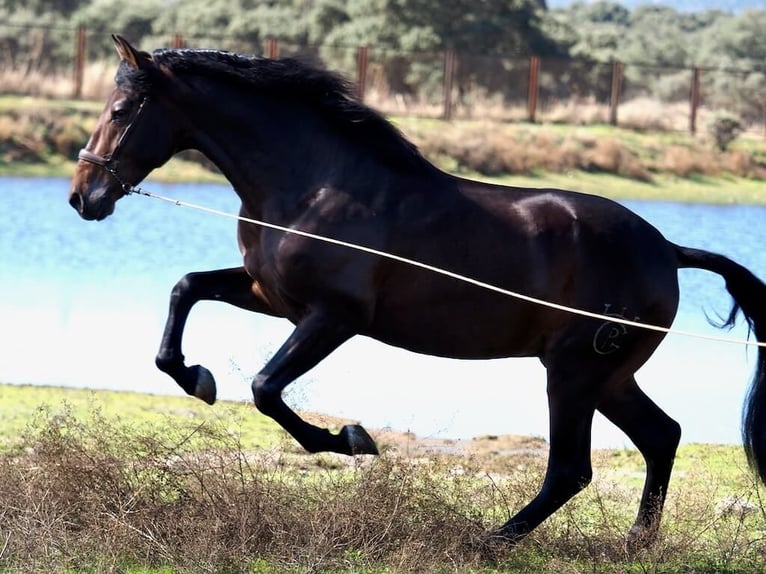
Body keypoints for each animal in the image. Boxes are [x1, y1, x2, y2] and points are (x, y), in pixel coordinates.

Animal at [69, 36, 766, 548]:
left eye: (121, 111)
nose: (83, 196)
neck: (314, 184)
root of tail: (666, 249)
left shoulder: (333, 317)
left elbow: (266, 388)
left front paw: (350, 439)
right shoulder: (271, 295)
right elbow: (185, 291)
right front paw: (197, 378)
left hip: (573, 374)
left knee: (573, 467)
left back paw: (491, 541)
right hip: (608, 376)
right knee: (662, 436)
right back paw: (635, 542)